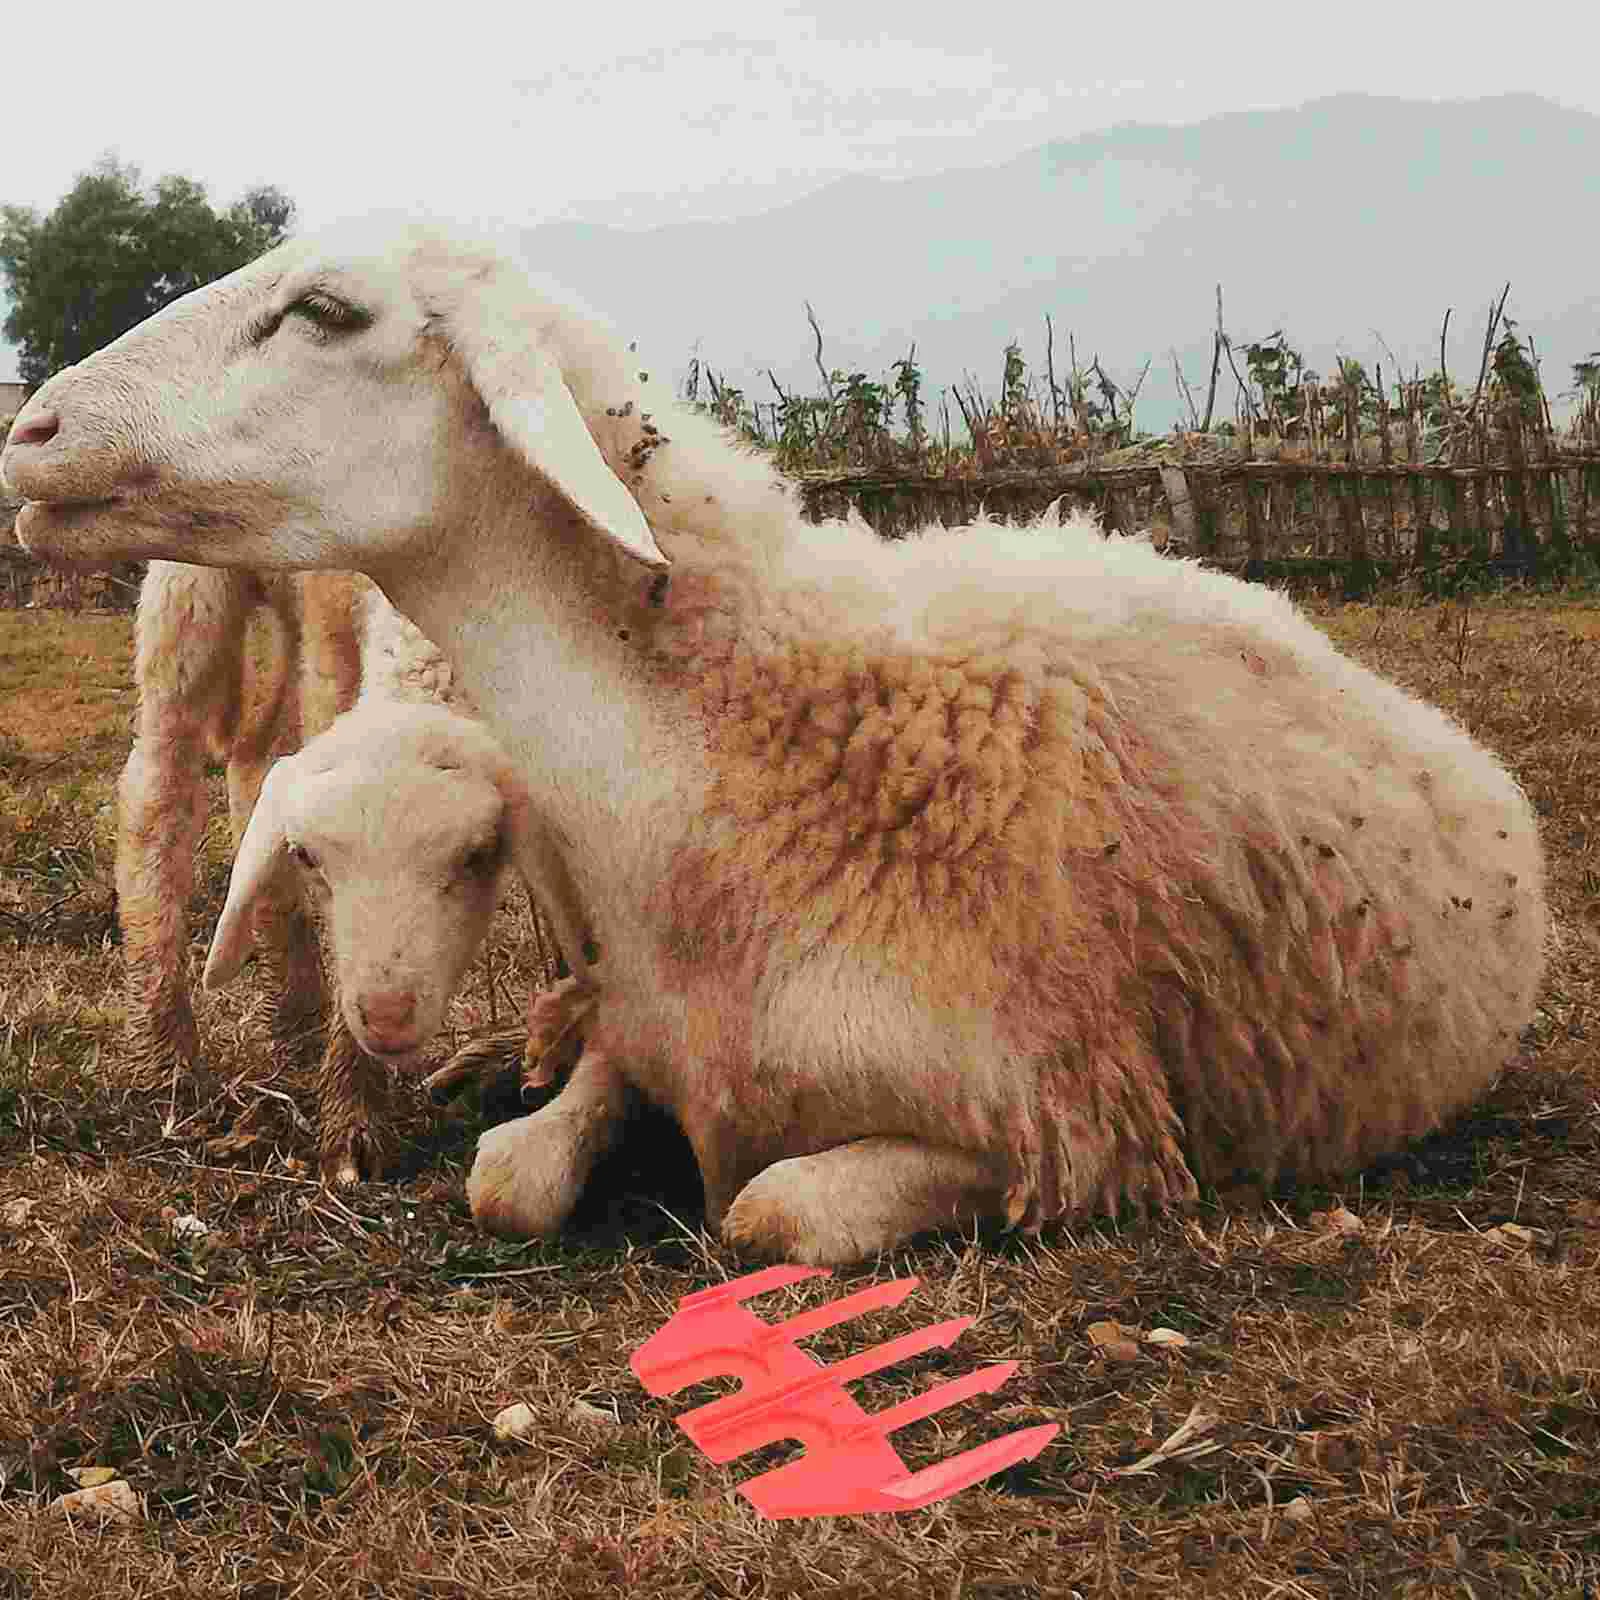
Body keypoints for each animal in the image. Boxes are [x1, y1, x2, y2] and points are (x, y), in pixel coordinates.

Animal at [3, 217, 1549, 1264]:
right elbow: (510, 1177)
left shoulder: (1061, 1126)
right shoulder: (639, 1029)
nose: (35, 426)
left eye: (325, 308)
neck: (746, 754)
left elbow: (764, 1211)